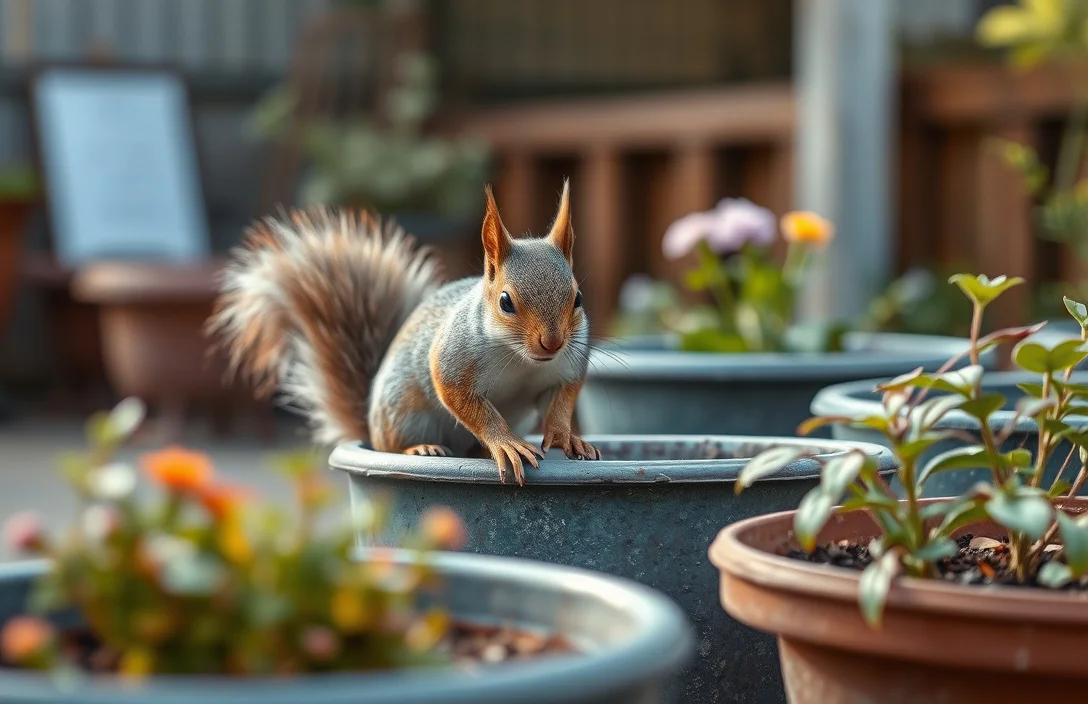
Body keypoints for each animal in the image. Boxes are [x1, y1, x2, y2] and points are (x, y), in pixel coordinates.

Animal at [210, 179, 600, 485]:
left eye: (578, 297)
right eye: (505, 301)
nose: (552, 342)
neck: (521, 360)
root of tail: (370, 424)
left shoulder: (566, 368)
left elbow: (561, 401)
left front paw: (567, 438)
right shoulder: (453, 359)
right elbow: (465, 400)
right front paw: (504, 441)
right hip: (403, 410)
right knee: (391, 443)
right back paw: (421, 447)